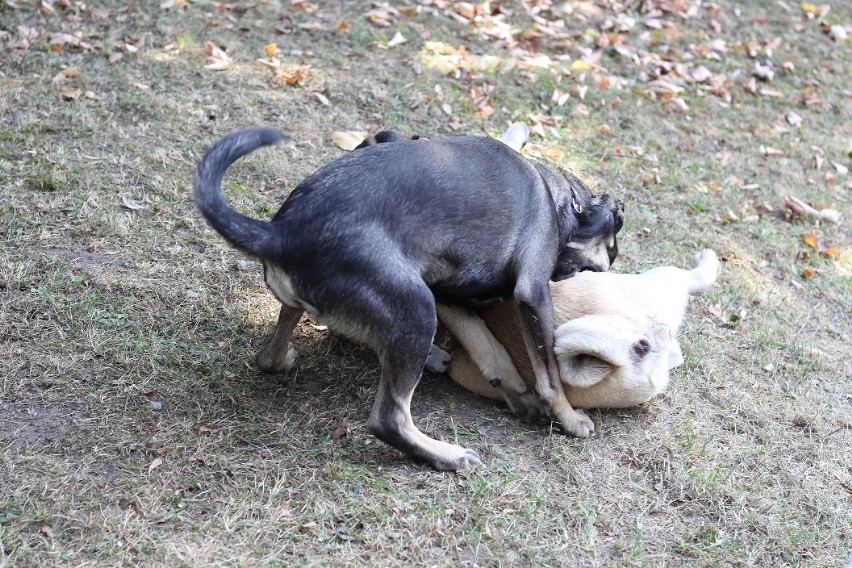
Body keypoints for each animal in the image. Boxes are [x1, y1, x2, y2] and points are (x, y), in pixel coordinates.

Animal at [195, 129, 624, 470]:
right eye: (614, 245)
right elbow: (549, 374)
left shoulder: (449, 295)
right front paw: (568, 418)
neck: (556, 196)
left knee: (269, 355)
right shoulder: (532, 294)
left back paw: (284, 358)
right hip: (417, 311)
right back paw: (447, 455)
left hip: (384, 307)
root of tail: (282, 234)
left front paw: (518, 393)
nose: (616, 258)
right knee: (389, 419)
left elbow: (491, 352)